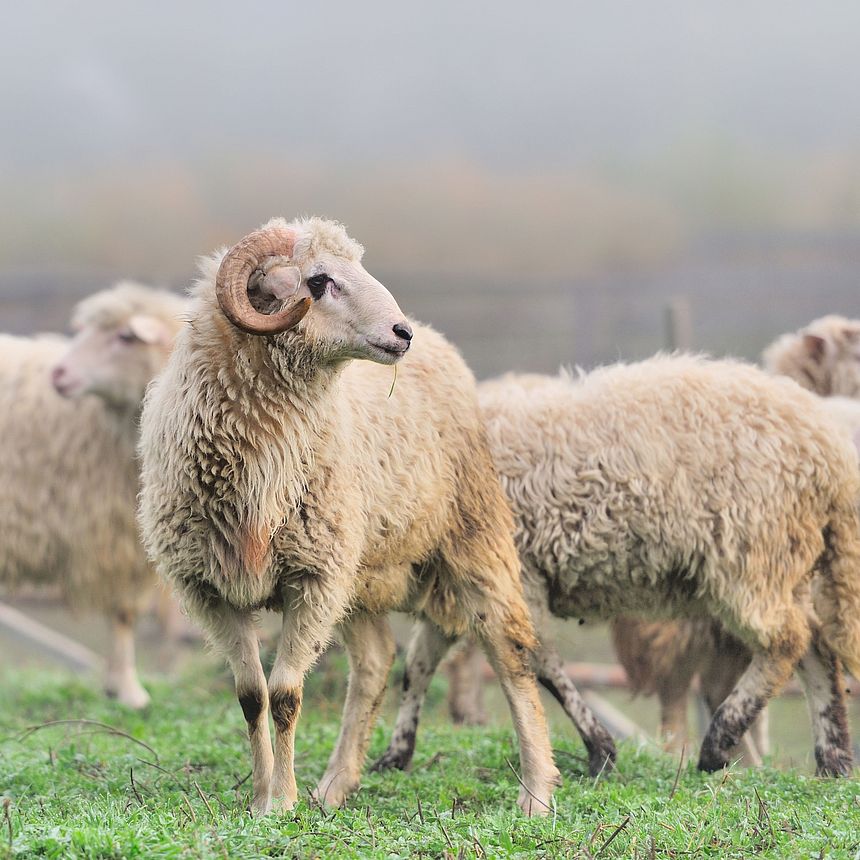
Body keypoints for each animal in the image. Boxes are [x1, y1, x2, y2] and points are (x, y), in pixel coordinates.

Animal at [0, 281, 187, 708]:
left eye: (125, 337)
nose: (59, 373)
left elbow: (125, 615)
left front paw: (120, 687)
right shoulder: (110, 536)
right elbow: (121, 614)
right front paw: (129, 689)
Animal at [137, 217, 560, 816]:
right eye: (318, 281)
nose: (401, 333)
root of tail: (442, 342)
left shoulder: (311, 579)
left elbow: (286, 695)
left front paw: (282, 802)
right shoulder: (212, 589)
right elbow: (251, 696)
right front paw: (262, 798)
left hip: (473, 536)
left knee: (512, 651)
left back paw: (537, 792)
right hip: (357, 570)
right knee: (377, 661)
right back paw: (335, 785)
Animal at [376, 355, 860, 779]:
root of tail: (829, 450)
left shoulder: (518, 575)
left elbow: (538, 660)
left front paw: (600, 751)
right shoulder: (460, 587)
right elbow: (419, 664)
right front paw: (396, 754)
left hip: (750, 551)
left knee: (787, 640)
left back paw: (719, 742)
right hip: (783, 558)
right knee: (815, 645)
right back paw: (832, 759)